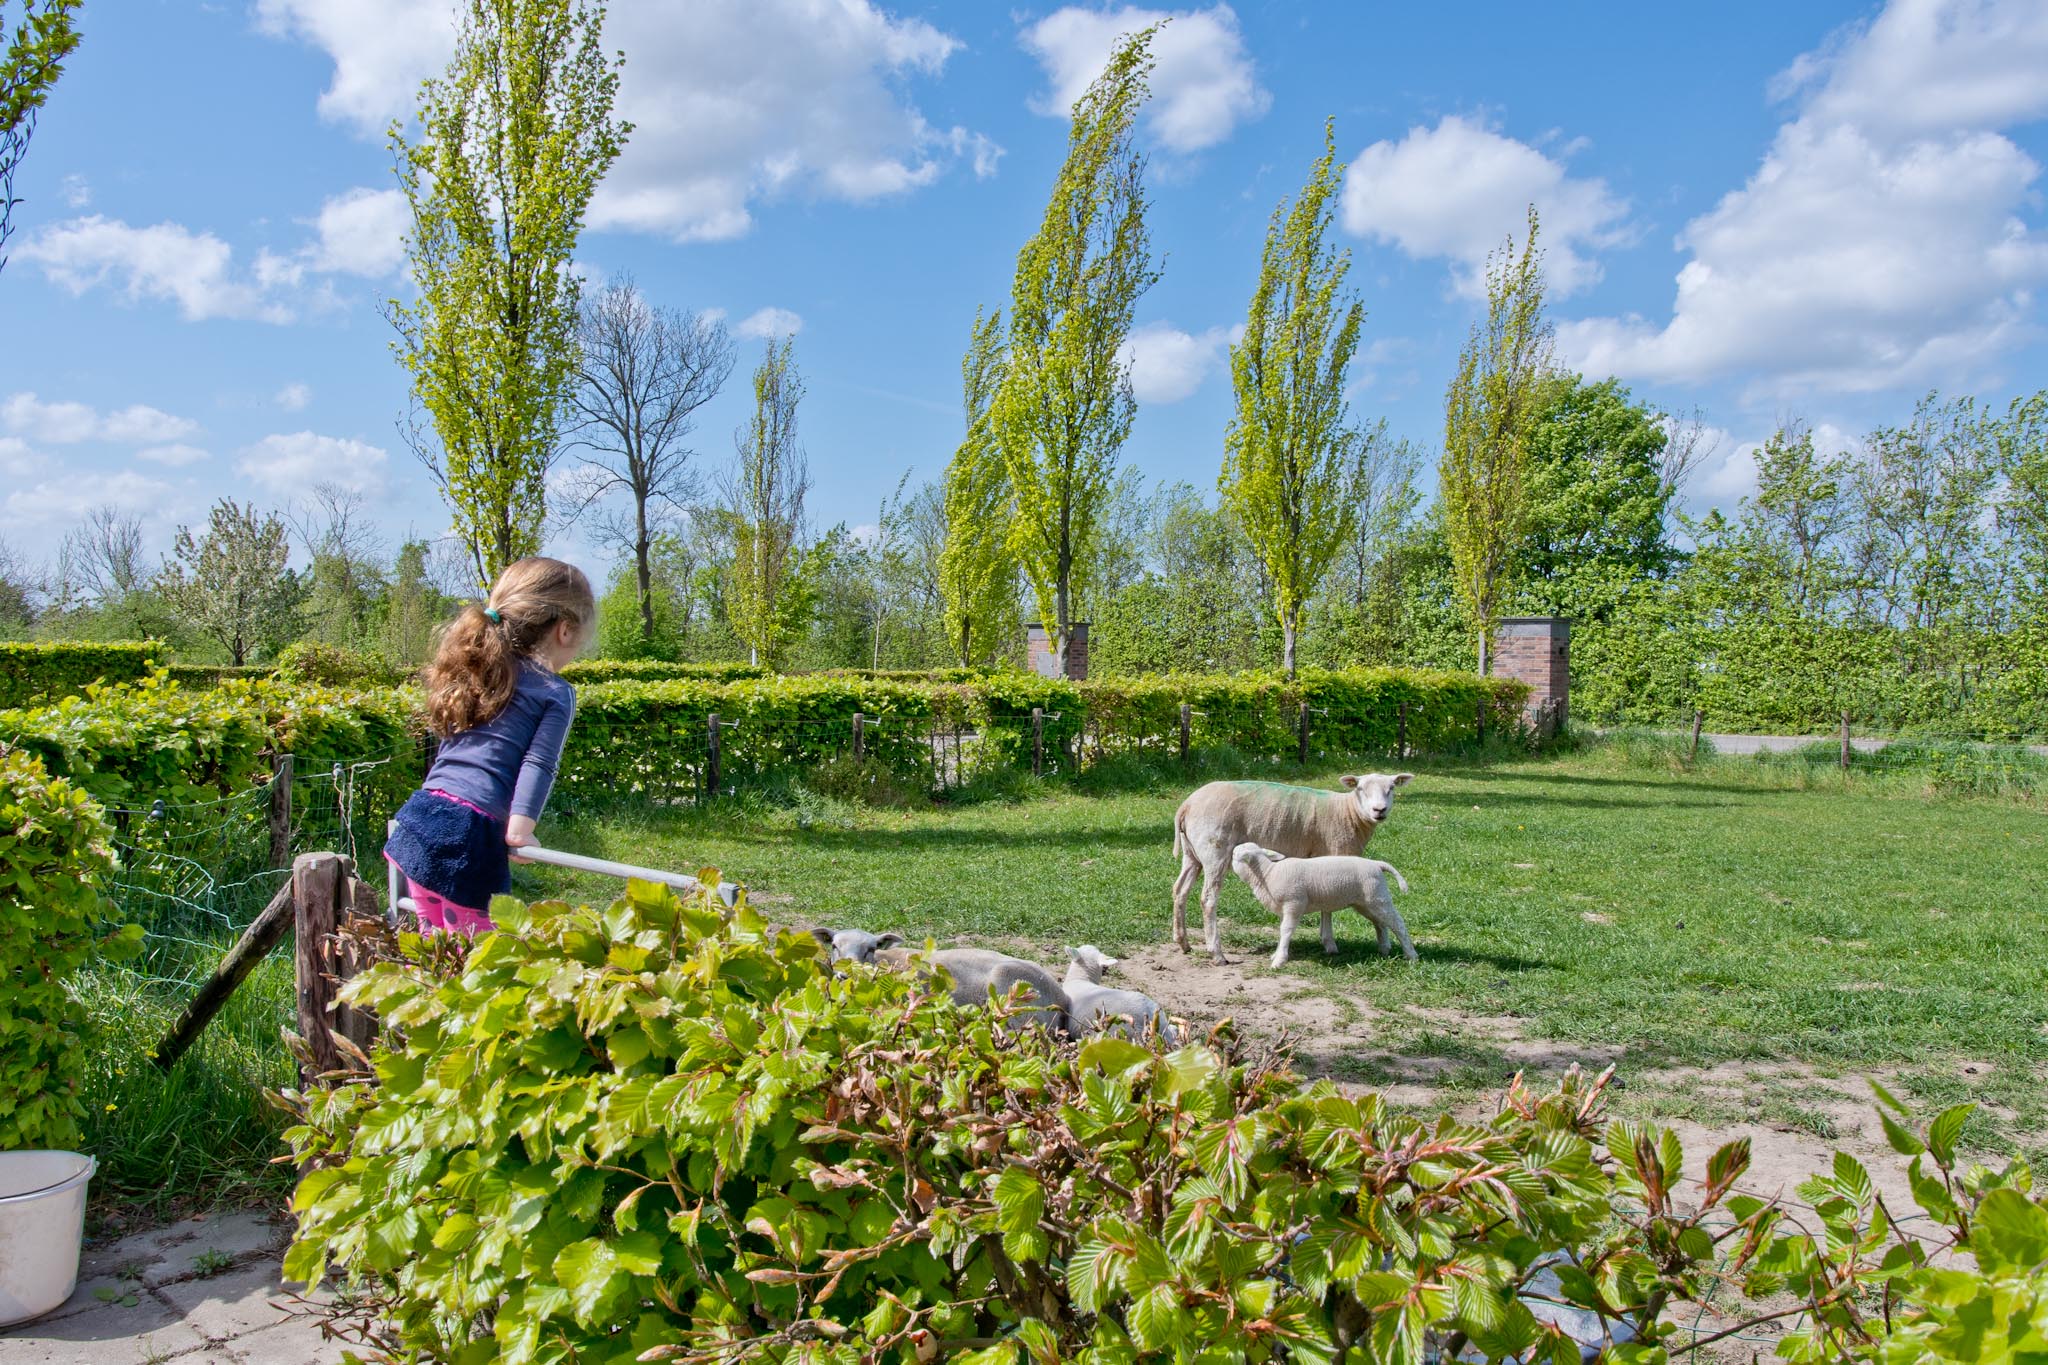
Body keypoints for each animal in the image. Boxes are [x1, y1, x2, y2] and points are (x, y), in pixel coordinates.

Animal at [1220, 843, 1417, 970]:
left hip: (1378, 897)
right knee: (1380, 923)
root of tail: (1377, 864)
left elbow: (1286, 930)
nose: (1226, 860)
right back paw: (1384, 950)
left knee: (1398, 923)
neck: (1267, 874)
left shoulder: (1294, 903)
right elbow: (1283, 931)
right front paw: (1276, 954)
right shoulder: (1285, 908)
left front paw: (1279, 960)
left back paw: (1411, 956)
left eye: (1235, 854)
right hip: (1366, 902)